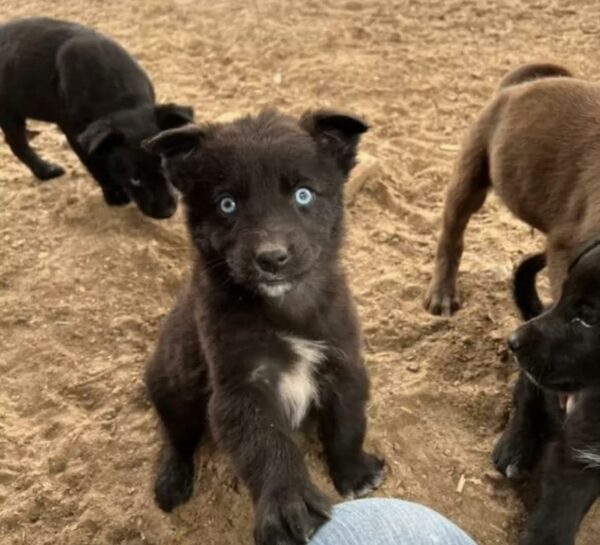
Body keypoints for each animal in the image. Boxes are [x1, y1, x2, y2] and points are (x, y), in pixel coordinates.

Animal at [0, 19, 193, 219]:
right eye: (135, 178)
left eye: (165, 168)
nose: (166, 212)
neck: (124, 103)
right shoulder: (75, 132)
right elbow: (95, 164)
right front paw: (114, 194)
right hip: (9, 111)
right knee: (18, 145)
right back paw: (46, 170)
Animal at [143, 110, 382, 544]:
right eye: (227, 204)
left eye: (303, 195)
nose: (271, 258)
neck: (284, 306)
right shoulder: (241, 387)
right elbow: (267, 442)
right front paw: (289, 501)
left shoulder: (342, 361)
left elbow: (347, 422)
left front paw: (355, 473)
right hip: (174, 382)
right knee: (176, 434)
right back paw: (172, 480)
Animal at [492, 250, 600, 544]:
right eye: (564, 293)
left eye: (589, 317)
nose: (513, 341)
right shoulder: (576, 455)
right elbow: (553, 525)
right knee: (526, 397)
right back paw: (514, 449)